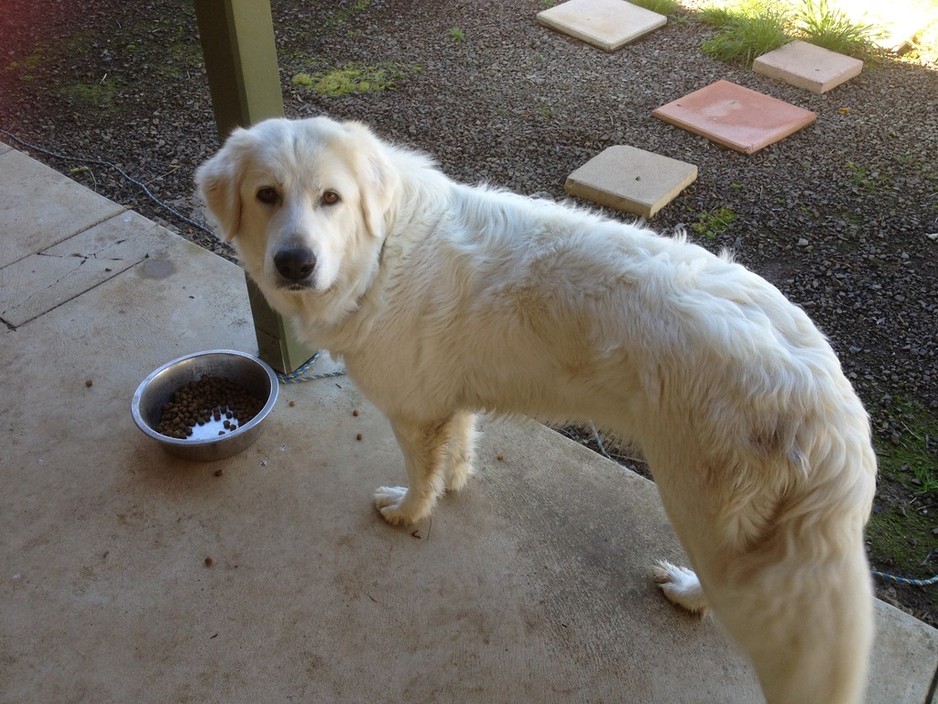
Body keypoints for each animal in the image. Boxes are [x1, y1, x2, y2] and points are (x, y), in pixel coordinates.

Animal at [196, 117, 876, 704]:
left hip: (711, 522)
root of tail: (831, 398)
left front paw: (410, 512)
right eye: (266, 195)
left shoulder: (413, 411)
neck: (381, 249)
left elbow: (419, 475)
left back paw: (686, 594)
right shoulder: (448, 401)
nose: (295, 263)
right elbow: (456, 450)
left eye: (331, 198)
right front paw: (457, 482)